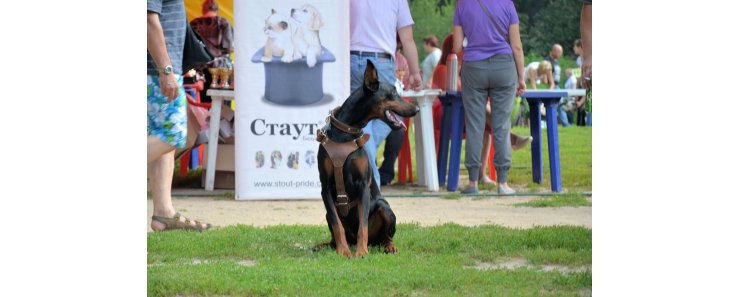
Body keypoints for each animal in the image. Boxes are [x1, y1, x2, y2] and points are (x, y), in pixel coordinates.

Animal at [316, 60, 420, 256]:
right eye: (393, 93)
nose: (417, 109)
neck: (346, 132)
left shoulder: (363, 185)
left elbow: (362, 225)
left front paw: (361, 253)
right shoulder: (325, 188)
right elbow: (336, 224)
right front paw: (344, 252)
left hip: (384, 207)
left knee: (385, 236)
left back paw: (388, 246)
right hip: (328, 213)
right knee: (336, 233)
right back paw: (327, 246)